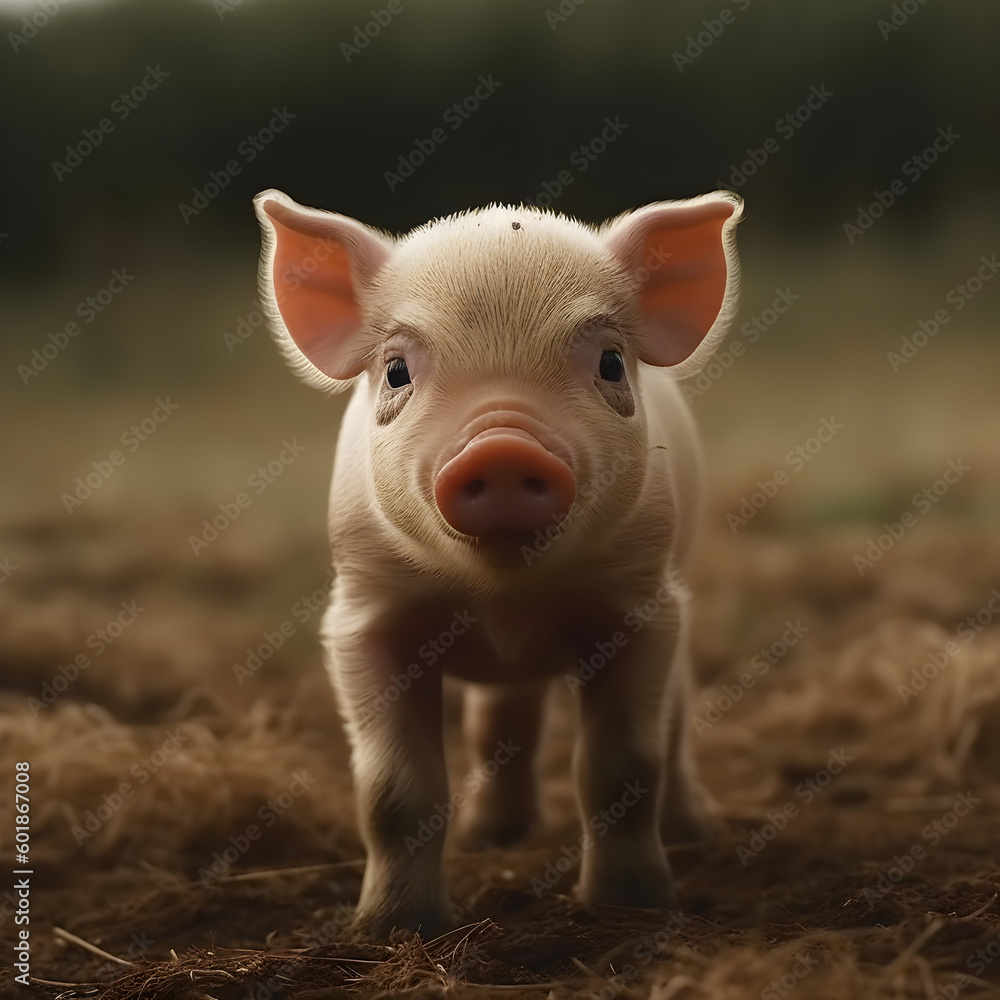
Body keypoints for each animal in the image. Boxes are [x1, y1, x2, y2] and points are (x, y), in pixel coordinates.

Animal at [253, 188, 743, 938]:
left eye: (610, 362)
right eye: (396, 371)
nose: (503, 448)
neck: (506, 596)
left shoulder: (640, 607)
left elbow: (624, 767)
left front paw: (632, 906)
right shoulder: (365, 614)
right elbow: (392, 791)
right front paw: (390, 929)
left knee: (676, 719)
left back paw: (698, 832)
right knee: (500, 725)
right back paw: (493, 838)